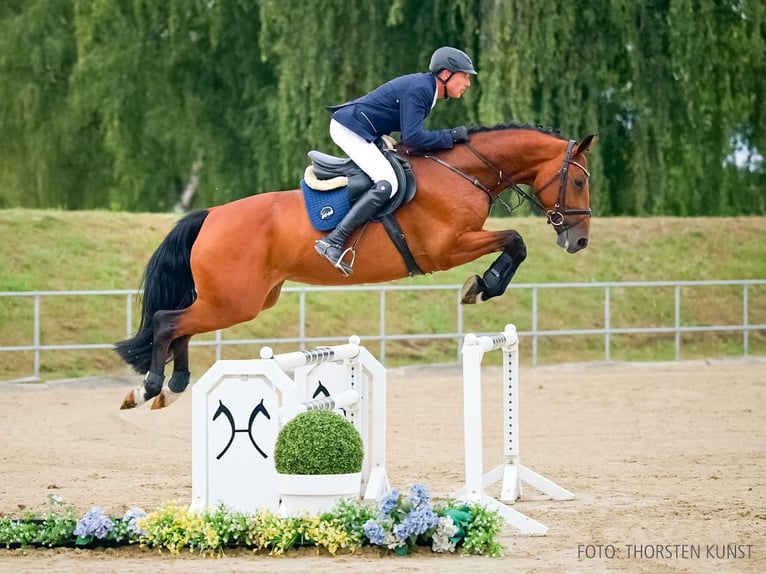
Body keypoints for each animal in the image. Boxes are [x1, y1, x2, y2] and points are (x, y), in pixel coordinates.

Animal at [115, 124, 596, 410]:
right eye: (578, 180)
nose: (579, 241)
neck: (463, 171)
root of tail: (211, 215)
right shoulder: (447, 248)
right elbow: (515, 240)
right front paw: (483, 284)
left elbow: (515, 243)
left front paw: (482, 285)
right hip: (235, 301)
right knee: (167, 321)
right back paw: (150, 386)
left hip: (240, 300)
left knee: (182, 325)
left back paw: (175, 384)